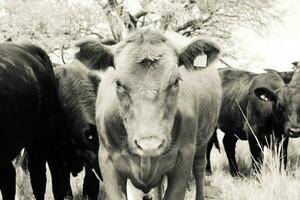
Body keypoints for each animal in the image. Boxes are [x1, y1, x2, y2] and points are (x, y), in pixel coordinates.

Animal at [75, 29, 220, 200]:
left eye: (176, 81)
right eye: (118, 83)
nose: (149, 145)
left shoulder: (184, 158)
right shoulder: (107, 160)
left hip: (202, 143)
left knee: (199, 169)